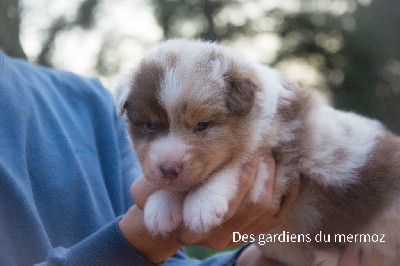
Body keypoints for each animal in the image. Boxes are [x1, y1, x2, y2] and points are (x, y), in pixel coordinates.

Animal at [117, 39, 400, 266]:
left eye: (202, 125)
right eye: (149, 126)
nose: (169, 168)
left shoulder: (281, 165)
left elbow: (232, 167)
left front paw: (202, 204)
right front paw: (161, 206)